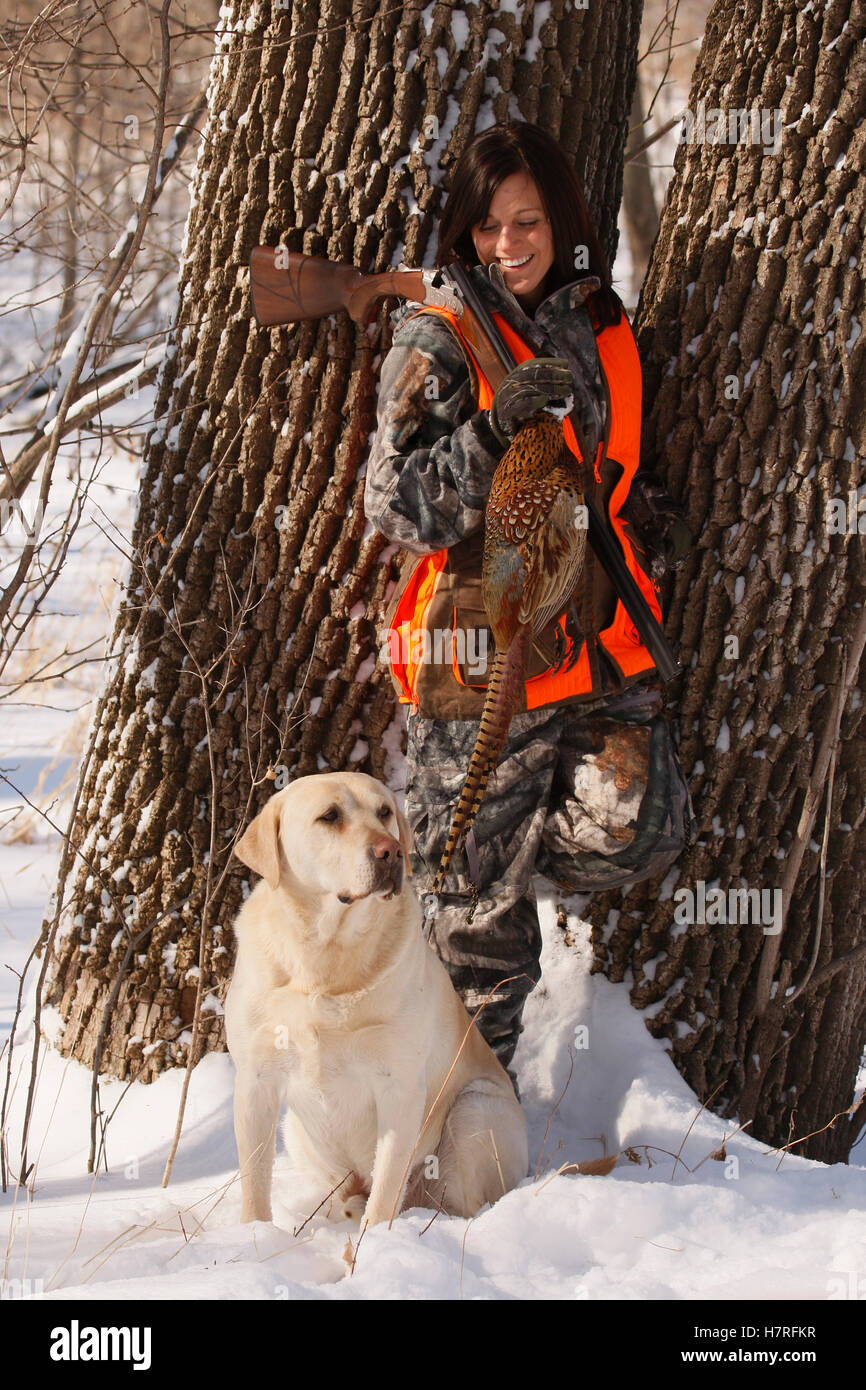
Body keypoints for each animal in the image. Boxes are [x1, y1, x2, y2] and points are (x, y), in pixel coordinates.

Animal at [223, 767, 528, 1234]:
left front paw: (374, 1242)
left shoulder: (399, 1088)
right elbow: (254, 1182)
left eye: (384, 812)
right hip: (297, 1133)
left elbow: (386, 1188)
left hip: (475, 1108)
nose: (392, 852)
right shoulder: (256, 1080)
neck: (325, 957)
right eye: (329, 816)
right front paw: (252, 1235)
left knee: (460, 1201)